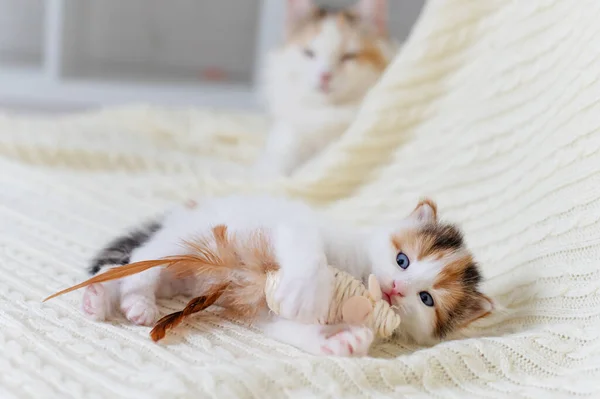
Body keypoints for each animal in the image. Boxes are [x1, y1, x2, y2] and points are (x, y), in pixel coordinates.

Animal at [81, 196, 492, 356]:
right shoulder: (295, 228)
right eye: (403, 260)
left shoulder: (266, 313)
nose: (394, 288)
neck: (362, 276)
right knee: (137, 264)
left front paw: (341, 341)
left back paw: (103, 299)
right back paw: (130, 300)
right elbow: (307, 253)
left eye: (426, 298)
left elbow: (289, 327)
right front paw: (305, 293)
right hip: (182, 242)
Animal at [255, 0, 396, 177]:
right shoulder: (287, 135)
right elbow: (276, 163)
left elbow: (317, 162)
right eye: (309, 53)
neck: (327, 113)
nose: (325, 75)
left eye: (348, 56)